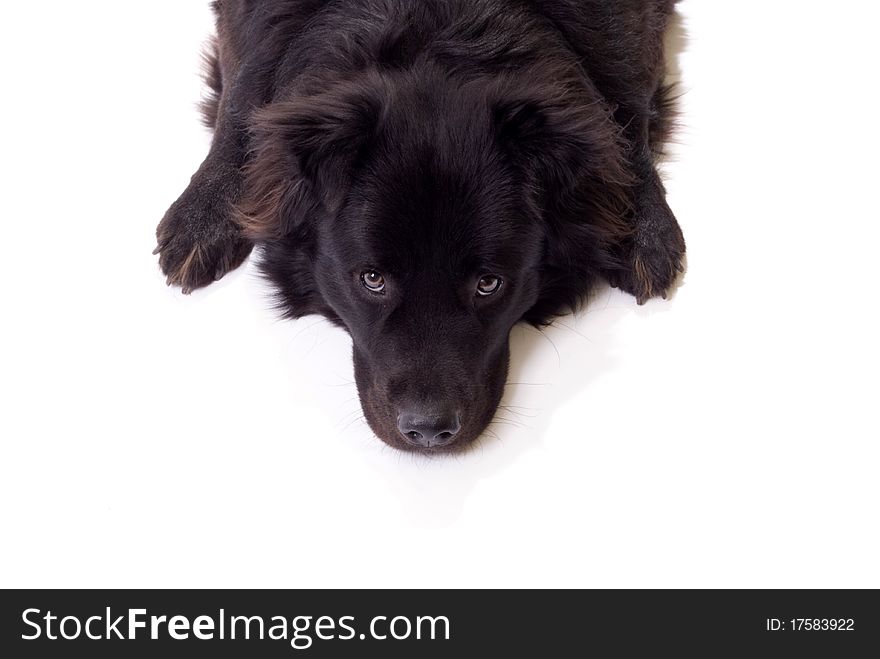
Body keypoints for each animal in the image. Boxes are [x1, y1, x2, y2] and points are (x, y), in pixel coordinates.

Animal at [155, 0, 684, 452]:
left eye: (489, 284)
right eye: (372, 279)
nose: (428, 430)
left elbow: (625, 99)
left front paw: (645, 226)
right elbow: (243, 90)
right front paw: (204, 211)